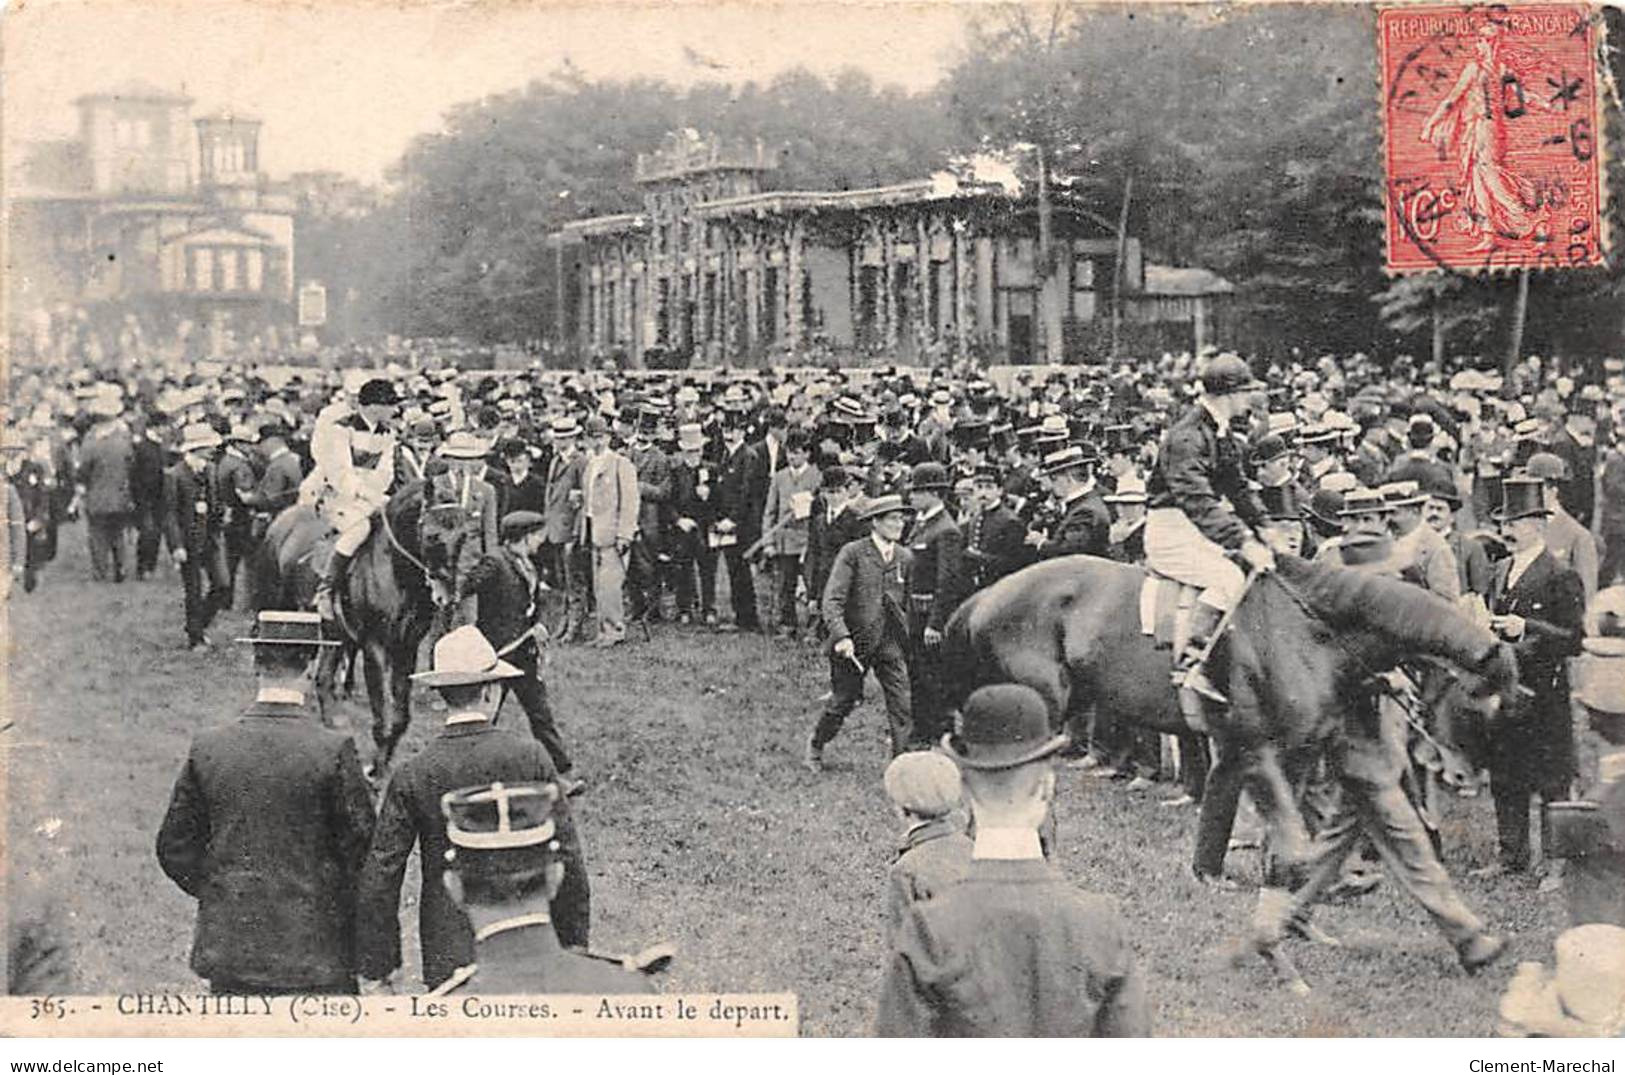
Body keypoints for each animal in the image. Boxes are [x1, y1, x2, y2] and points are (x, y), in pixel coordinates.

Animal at [250, 483, 471, 779]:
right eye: (433, 536)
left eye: (463, 536)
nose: (447, 595)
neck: (395, 574)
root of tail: (284, 517)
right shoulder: (374, 647)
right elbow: (382, 716)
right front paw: (373, 769)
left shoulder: (407, 648)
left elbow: (400, 718)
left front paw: (383, 764)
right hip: (276, 603)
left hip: (331, 631)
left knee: (323, 679)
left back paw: (332, 723)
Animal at [942, 555, 1521, 883]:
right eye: (1481, 700)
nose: (1465, 777)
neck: (1311, 628)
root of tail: (985, 596)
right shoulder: (1282, 744)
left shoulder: (1298, 742)